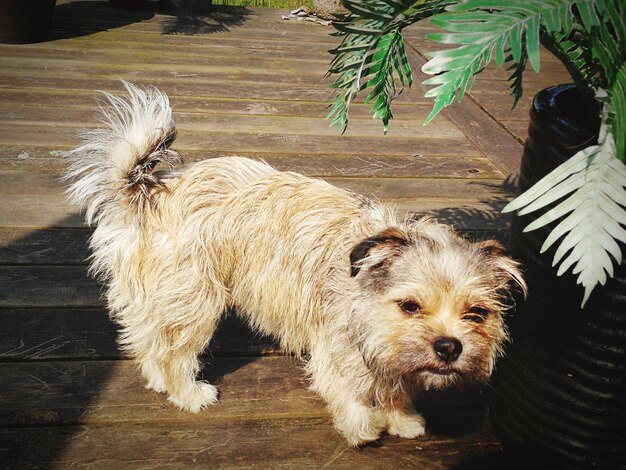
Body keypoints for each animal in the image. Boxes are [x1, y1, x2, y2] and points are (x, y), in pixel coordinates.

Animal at [66, 82, 524, 446]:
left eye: (477, 313)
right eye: (410, 306)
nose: (449, 346)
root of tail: (149, 194)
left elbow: (395, 383)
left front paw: (401, 417)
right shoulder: (336, 343)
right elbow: (346, 388)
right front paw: (363, 427)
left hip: (161, 296)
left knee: (148, 340)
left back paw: (158, 378)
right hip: (195, 300)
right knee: (176, 351)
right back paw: (188, 393)